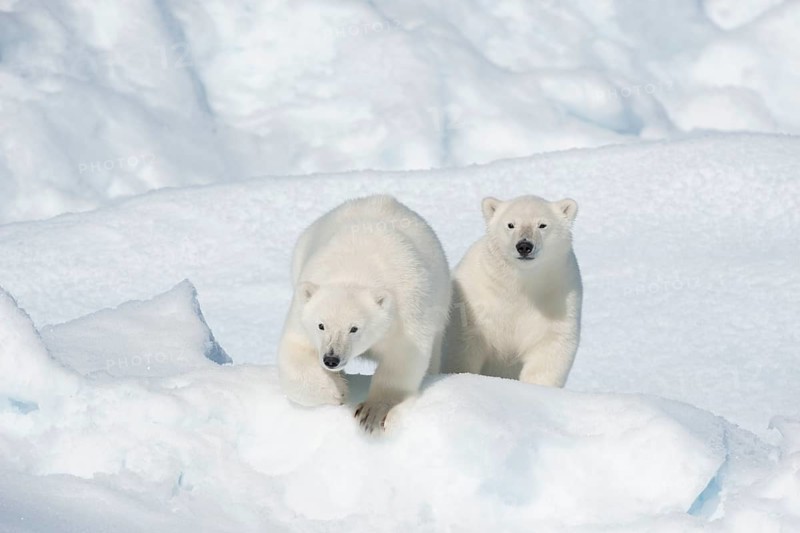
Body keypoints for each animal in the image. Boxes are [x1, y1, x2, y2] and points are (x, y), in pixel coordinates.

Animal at [277, 195, 451, 433]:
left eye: (354, 328)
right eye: (321, 325)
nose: (331, 359)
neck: (355, 273)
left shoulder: (407, 310)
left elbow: (403, 358)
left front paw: (373, 412)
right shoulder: (302, 309)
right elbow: (295, 351)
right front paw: (337, 390)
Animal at [443, 195, 582, 387]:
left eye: (542, 225)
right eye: (510, 224)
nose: (524, 246)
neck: (519, 284)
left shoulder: (557, 295)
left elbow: (550, 346)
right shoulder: (477, 296)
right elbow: (464, 342)